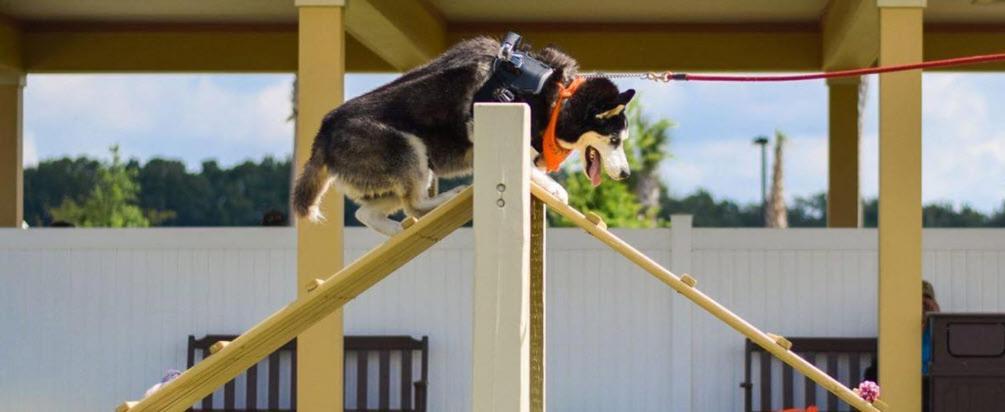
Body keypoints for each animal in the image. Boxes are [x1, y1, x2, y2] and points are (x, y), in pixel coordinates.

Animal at [293, 36, 635, 236]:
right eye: (614, 140)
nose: (626, 174)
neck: (558, 97)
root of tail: (323, 133)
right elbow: (537, 174)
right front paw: (554, 189)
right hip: (410, 150)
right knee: (414, 203)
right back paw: (446, 198)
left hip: (397, 176)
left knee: (368, 212)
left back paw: (400, 231)